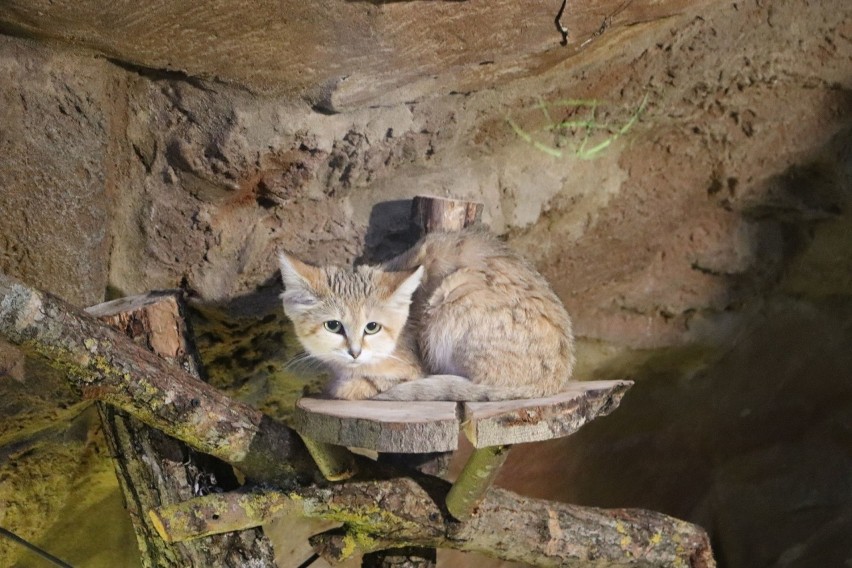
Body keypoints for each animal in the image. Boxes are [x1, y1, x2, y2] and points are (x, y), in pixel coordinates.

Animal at [278, 229, 572, 402]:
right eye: (333, 326)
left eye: (372, 327)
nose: (354, 352)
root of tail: (559, 376)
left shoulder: (412, 367)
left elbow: (364, 384)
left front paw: (349, 384)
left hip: (453, 296)